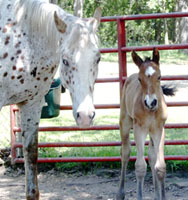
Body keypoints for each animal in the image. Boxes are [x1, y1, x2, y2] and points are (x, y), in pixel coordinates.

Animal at [117, 48, 176, 200]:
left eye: (159, 77)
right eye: (140, 79)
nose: (151, 102)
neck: (151, 111)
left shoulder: (159, 129)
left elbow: (160, 165)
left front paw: (161, 195)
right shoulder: (139, 129)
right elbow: (140, 167)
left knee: (152, 156)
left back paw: (156, 194)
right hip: (125, 122)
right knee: (125, 153)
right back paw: (120, 193)